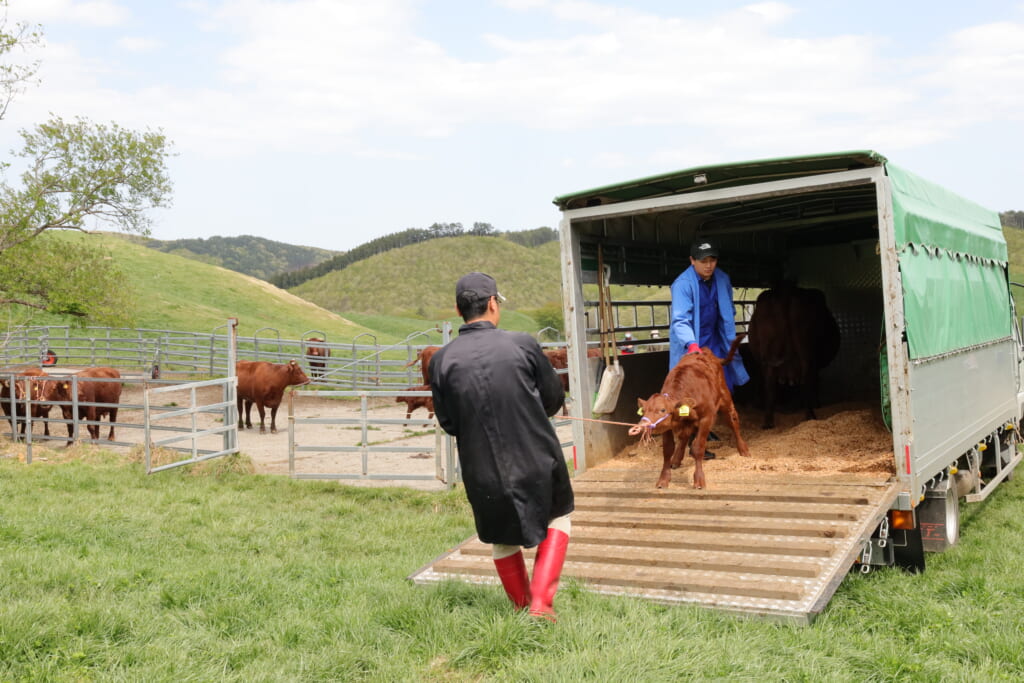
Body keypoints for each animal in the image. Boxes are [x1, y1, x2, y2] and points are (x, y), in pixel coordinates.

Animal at [626, 337, 749, 489]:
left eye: (662, 410)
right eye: (644, 410)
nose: (642, 425)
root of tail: (708, 353)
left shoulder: (706, 418)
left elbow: (698, 447)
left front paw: (699, 480)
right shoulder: (668, 426)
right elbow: (668, 450)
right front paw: (663, 479)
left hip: (725, 399)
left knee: (733, 420)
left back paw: (743, 449)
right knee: (684, 436)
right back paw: (676, 459)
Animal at [745, 286, 839, 430]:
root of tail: (786, 292)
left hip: (768, 355)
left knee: (770, 386)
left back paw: (768, 422)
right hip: (806, 349)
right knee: (807, 382)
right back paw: (810, 416)